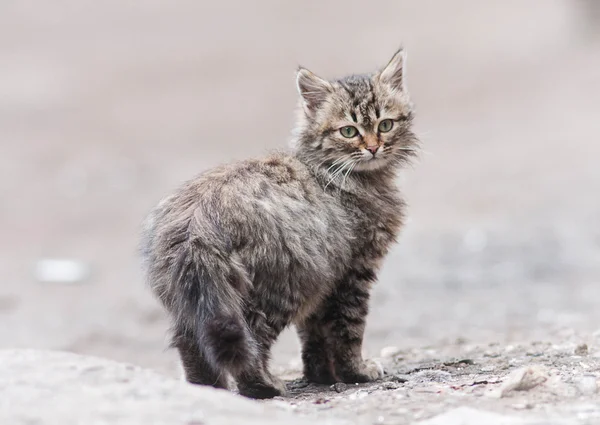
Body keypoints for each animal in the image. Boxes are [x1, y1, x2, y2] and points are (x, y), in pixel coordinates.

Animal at [142, 48, 420, 398]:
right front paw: (356, 372)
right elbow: (348, 331)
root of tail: (198, 223)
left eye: (385, 125)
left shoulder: (324, 283)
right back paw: (263, 386)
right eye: (348, 131)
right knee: (251, 341)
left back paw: (208, 391)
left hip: (194, 299)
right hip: (280, 285)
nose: (372, 147)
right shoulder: (352, 272)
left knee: (190, 343)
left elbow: (314, 336)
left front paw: (321, 376)